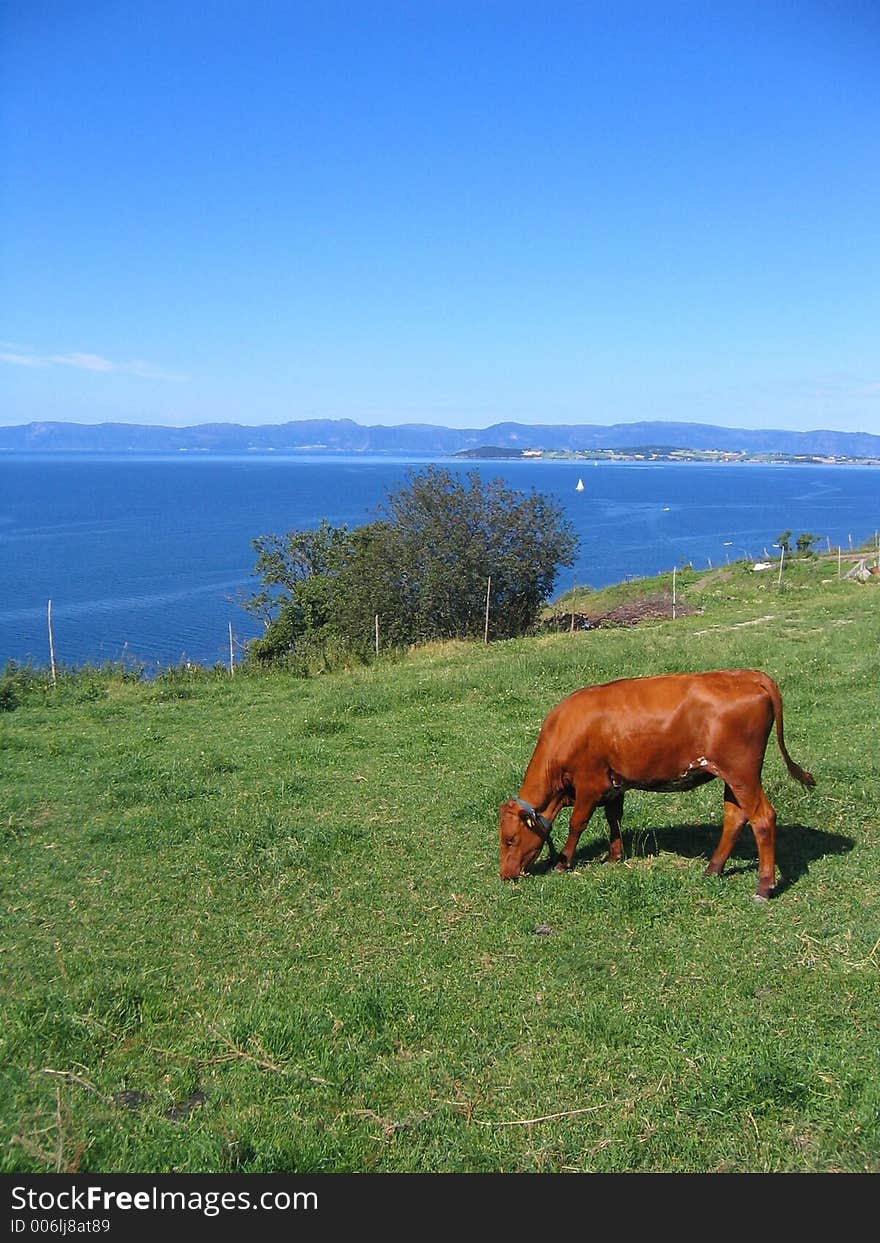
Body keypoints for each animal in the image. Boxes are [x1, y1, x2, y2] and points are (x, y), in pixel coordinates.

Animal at [499, 676, 815, 899]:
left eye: (510, 839)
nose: (505, 875)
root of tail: (748, 675)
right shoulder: (614, 785)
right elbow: (614, 819)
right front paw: (614, 856)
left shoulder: (589, 784)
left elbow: (578, 823)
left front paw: (563, 862)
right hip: (733, 777)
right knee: (735, 817)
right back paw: (713, 869)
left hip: (742, 774)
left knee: (762, 818)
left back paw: (764, 886)